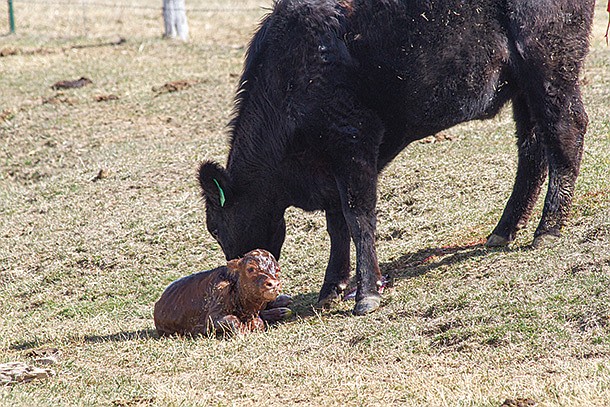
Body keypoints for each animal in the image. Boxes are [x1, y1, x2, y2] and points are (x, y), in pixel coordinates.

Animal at [153, 250, 288, 336]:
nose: (273, 284)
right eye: (251, 269)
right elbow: (232, 319)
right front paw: (243, 331)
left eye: (277, 271)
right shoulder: (212, 316)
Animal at [198, 0, 592, 316]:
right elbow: (337, 226)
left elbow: (358, 218)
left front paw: (366, 295)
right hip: (522, 85)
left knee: (566, 131)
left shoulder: (353, 141)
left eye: (215, 227)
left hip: (549, 64)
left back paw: (549, 227)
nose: (230, 281)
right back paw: (505, 229)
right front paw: (331, 289)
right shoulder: (333, 167)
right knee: (532, 149)